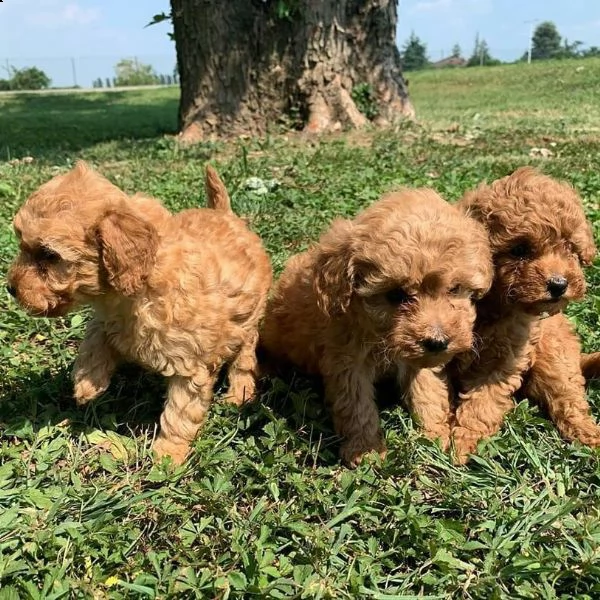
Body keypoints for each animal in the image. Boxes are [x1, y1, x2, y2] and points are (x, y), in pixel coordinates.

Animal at [6, 161, 274, 464]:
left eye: (50, 256)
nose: (11, 288)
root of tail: (225, 214)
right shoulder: (108, 320)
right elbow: (93, 339)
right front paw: (87, 383)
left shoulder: (191, 363)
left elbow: (180, 411)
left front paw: (168, 456)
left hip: (248, 321)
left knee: (244, 359)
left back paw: (239, 394)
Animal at [262, 190, 492, 466]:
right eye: (395, 295)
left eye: (455, 288)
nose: (437, 341)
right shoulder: (348, 359)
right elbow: (356, 404)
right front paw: (366, 450)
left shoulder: (418, 357)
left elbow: (426, 388)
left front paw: (435, 434)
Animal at [450, 166, 600, 462]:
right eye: (519, 249)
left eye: (569, 247)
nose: (559, 284)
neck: (492, 305)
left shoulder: (504, 361)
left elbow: (483, 402)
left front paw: (463, 442)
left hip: (554, 356)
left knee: (568, 398)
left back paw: (589, 435)